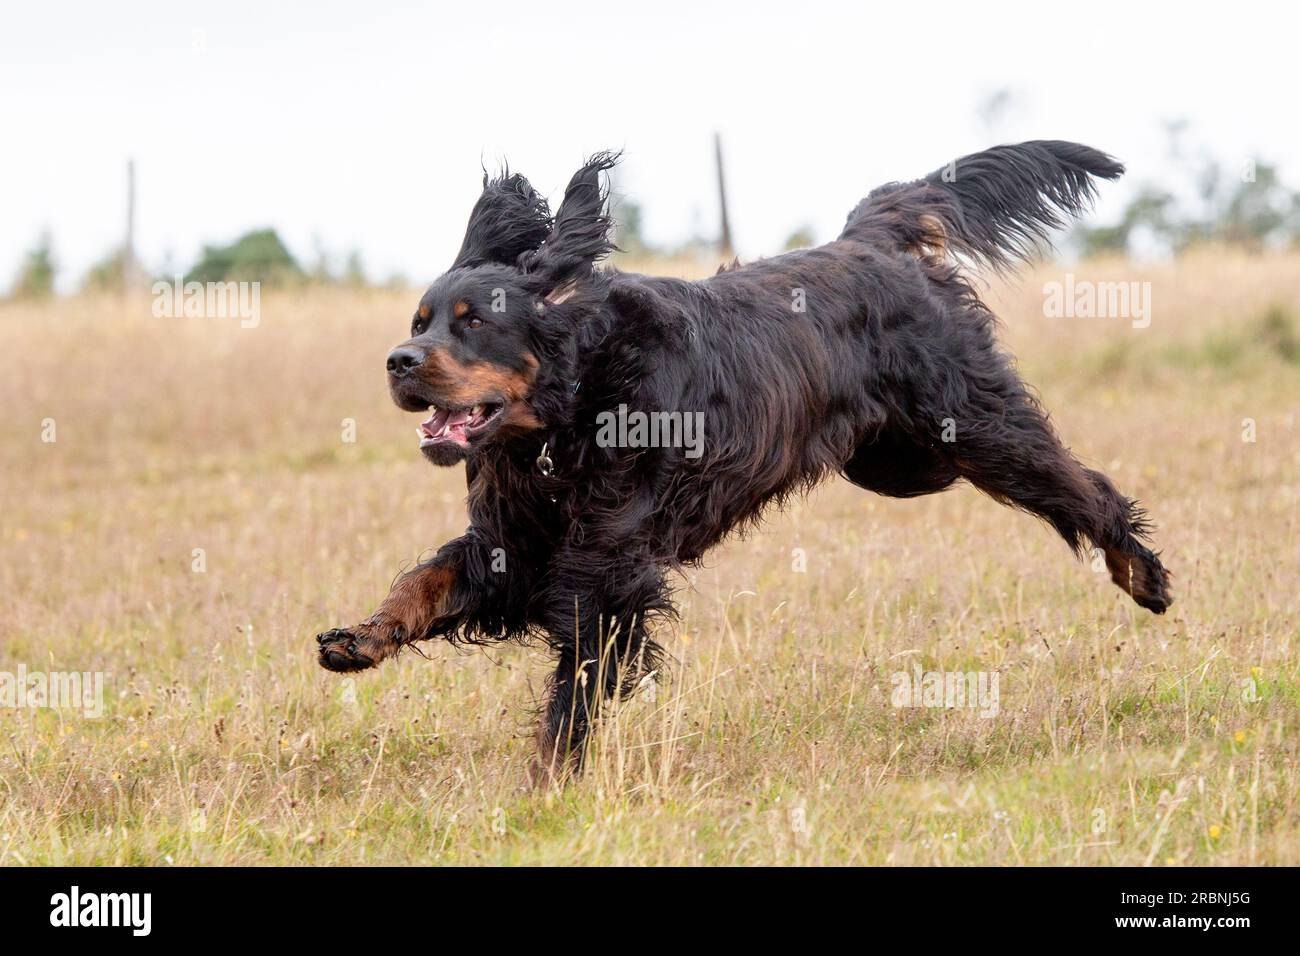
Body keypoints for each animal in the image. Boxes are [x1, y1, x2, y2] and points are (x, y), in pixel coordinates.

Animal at [314, 145, 1170, 780]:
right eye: (419, 321)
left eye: (474, 322)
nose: (399, 361)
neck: (568, 412)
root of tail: (868, 241)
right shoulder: (516, 545)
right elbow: (428, 580)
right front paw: (364, 636)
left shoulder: (603, 566)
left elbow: (577, 683)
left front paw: (548, 785)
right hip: (901, 463)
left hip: (974, 429)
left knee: (1077, 484)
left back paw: (1141, 572)